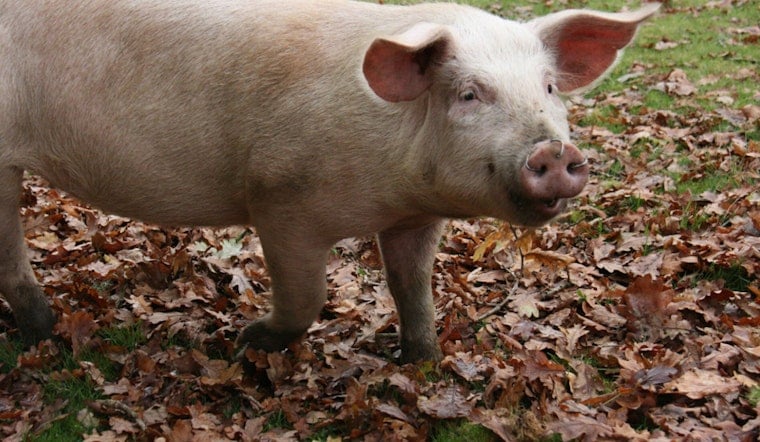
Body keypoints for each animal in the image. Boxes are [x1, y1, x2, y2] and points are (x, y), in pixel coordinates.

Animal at [0, 0, 658, 365]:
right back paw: (45, 330)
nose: (555, 150)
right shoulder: (280, 199)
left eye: (547, 87)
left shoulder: (416, 217)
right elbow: (309, 298)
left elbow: (412, 287)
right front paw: (247, 339)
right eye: (469, 95)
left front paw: (423, 362)